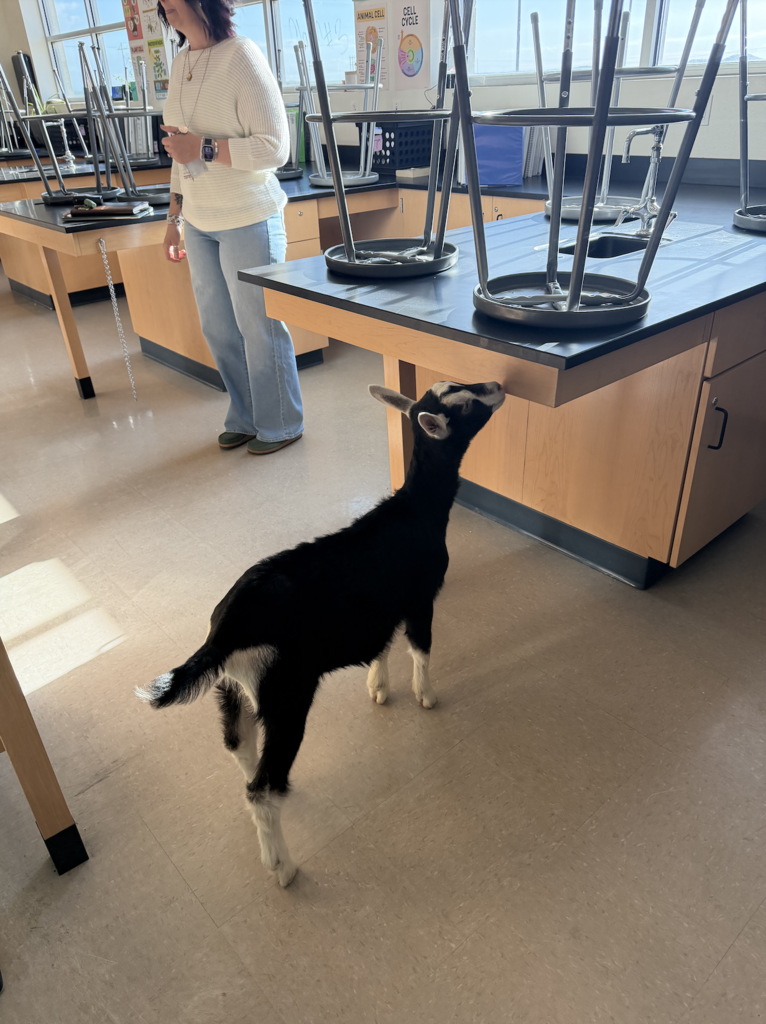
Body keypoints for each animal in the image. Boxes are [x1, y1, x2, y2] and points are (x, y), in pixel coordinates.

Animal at [138, 380, 505, 886]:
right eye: (467, 405)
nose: (499, 386)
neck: (415, 510)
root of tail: (224, 635)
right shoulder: (420, 599)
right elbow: (421, 648)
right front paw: (426, 696)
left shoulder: (382, 608)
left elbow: (382, 646)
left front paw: (378, 687)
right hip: (286, 695)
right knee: (264, 787)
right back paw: (283, 866)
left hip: (233, 689)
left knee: (239, 746)